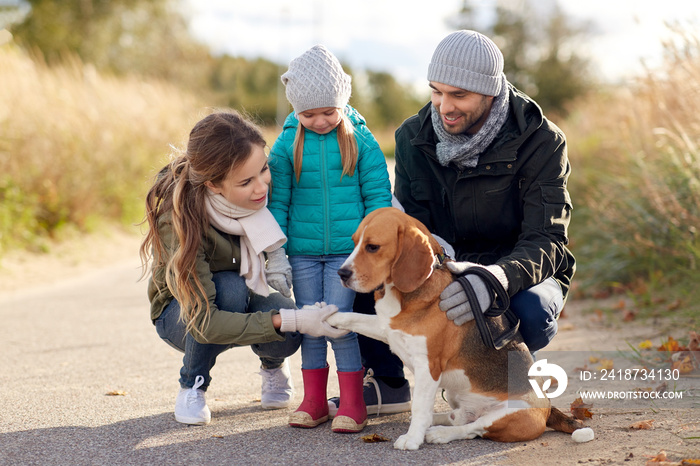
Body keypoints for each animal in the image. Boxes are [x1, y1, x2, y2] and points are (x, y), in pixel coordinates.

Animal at [326, 208, 580, 452]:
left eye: (372, 247)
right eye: (354, 242)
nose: (341, 274)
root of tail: (548, 407)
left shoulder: (428, 366)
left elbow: (419, 406)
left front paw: (412, 439)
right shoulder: (388, 328)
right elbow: (355, 318)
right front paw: (327, 316)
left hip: (510, 413)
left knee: (472, 429)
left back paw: (438, 433)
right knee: (459, 418)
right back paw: (437, 423)